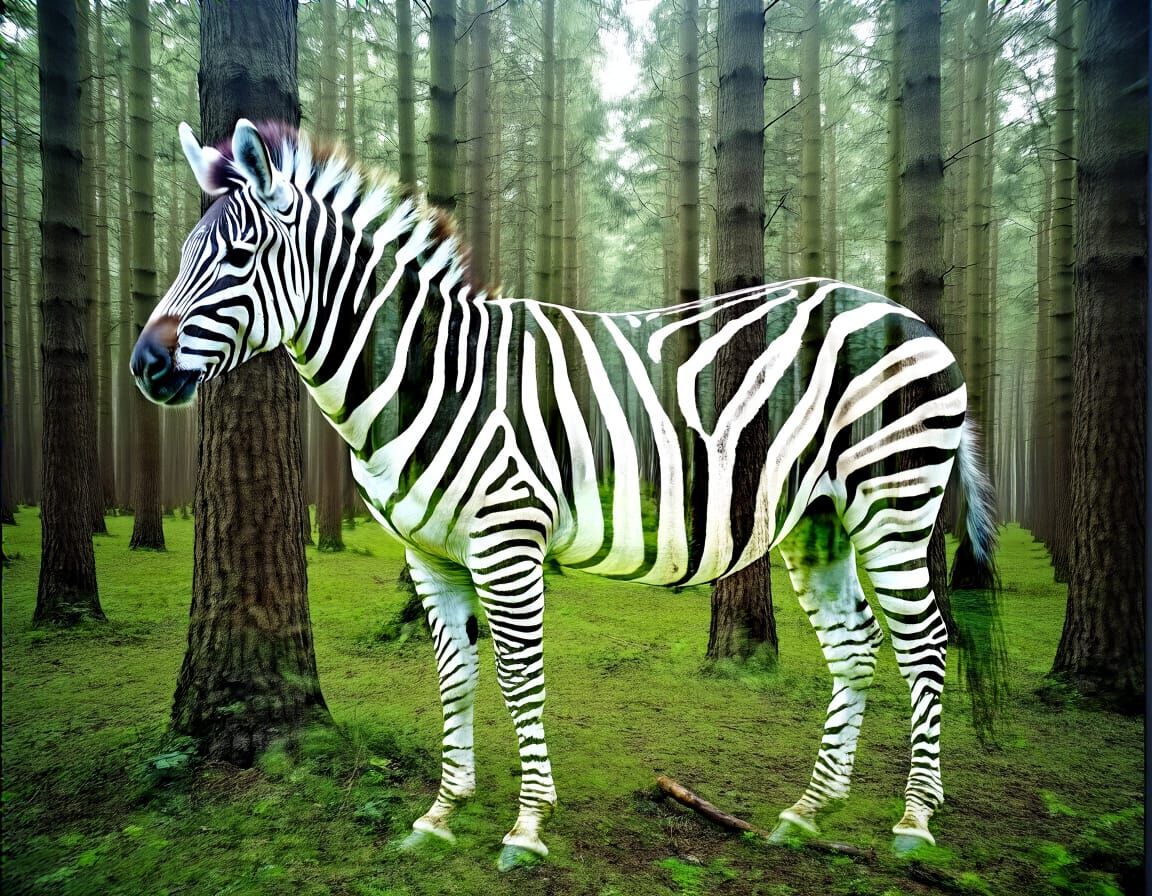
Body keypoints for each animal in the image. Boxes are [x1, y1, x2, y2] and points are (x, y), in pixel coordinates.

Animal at [132, 119, 1002, 869]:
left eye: (241, 256)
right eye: (183, 254)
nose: (144, 364)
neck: (430, 376)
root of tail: (912, 318)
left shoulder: (507, 538)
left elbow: (520, 679)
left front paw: (526, 825)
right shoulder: (431, 557)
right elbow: (456, 677)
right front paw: (440, 813)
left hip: (893, 497)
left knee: (926, 643)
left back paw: (914, 819)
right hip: (821, 519)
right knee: (856, 647)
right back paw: (808, 811)